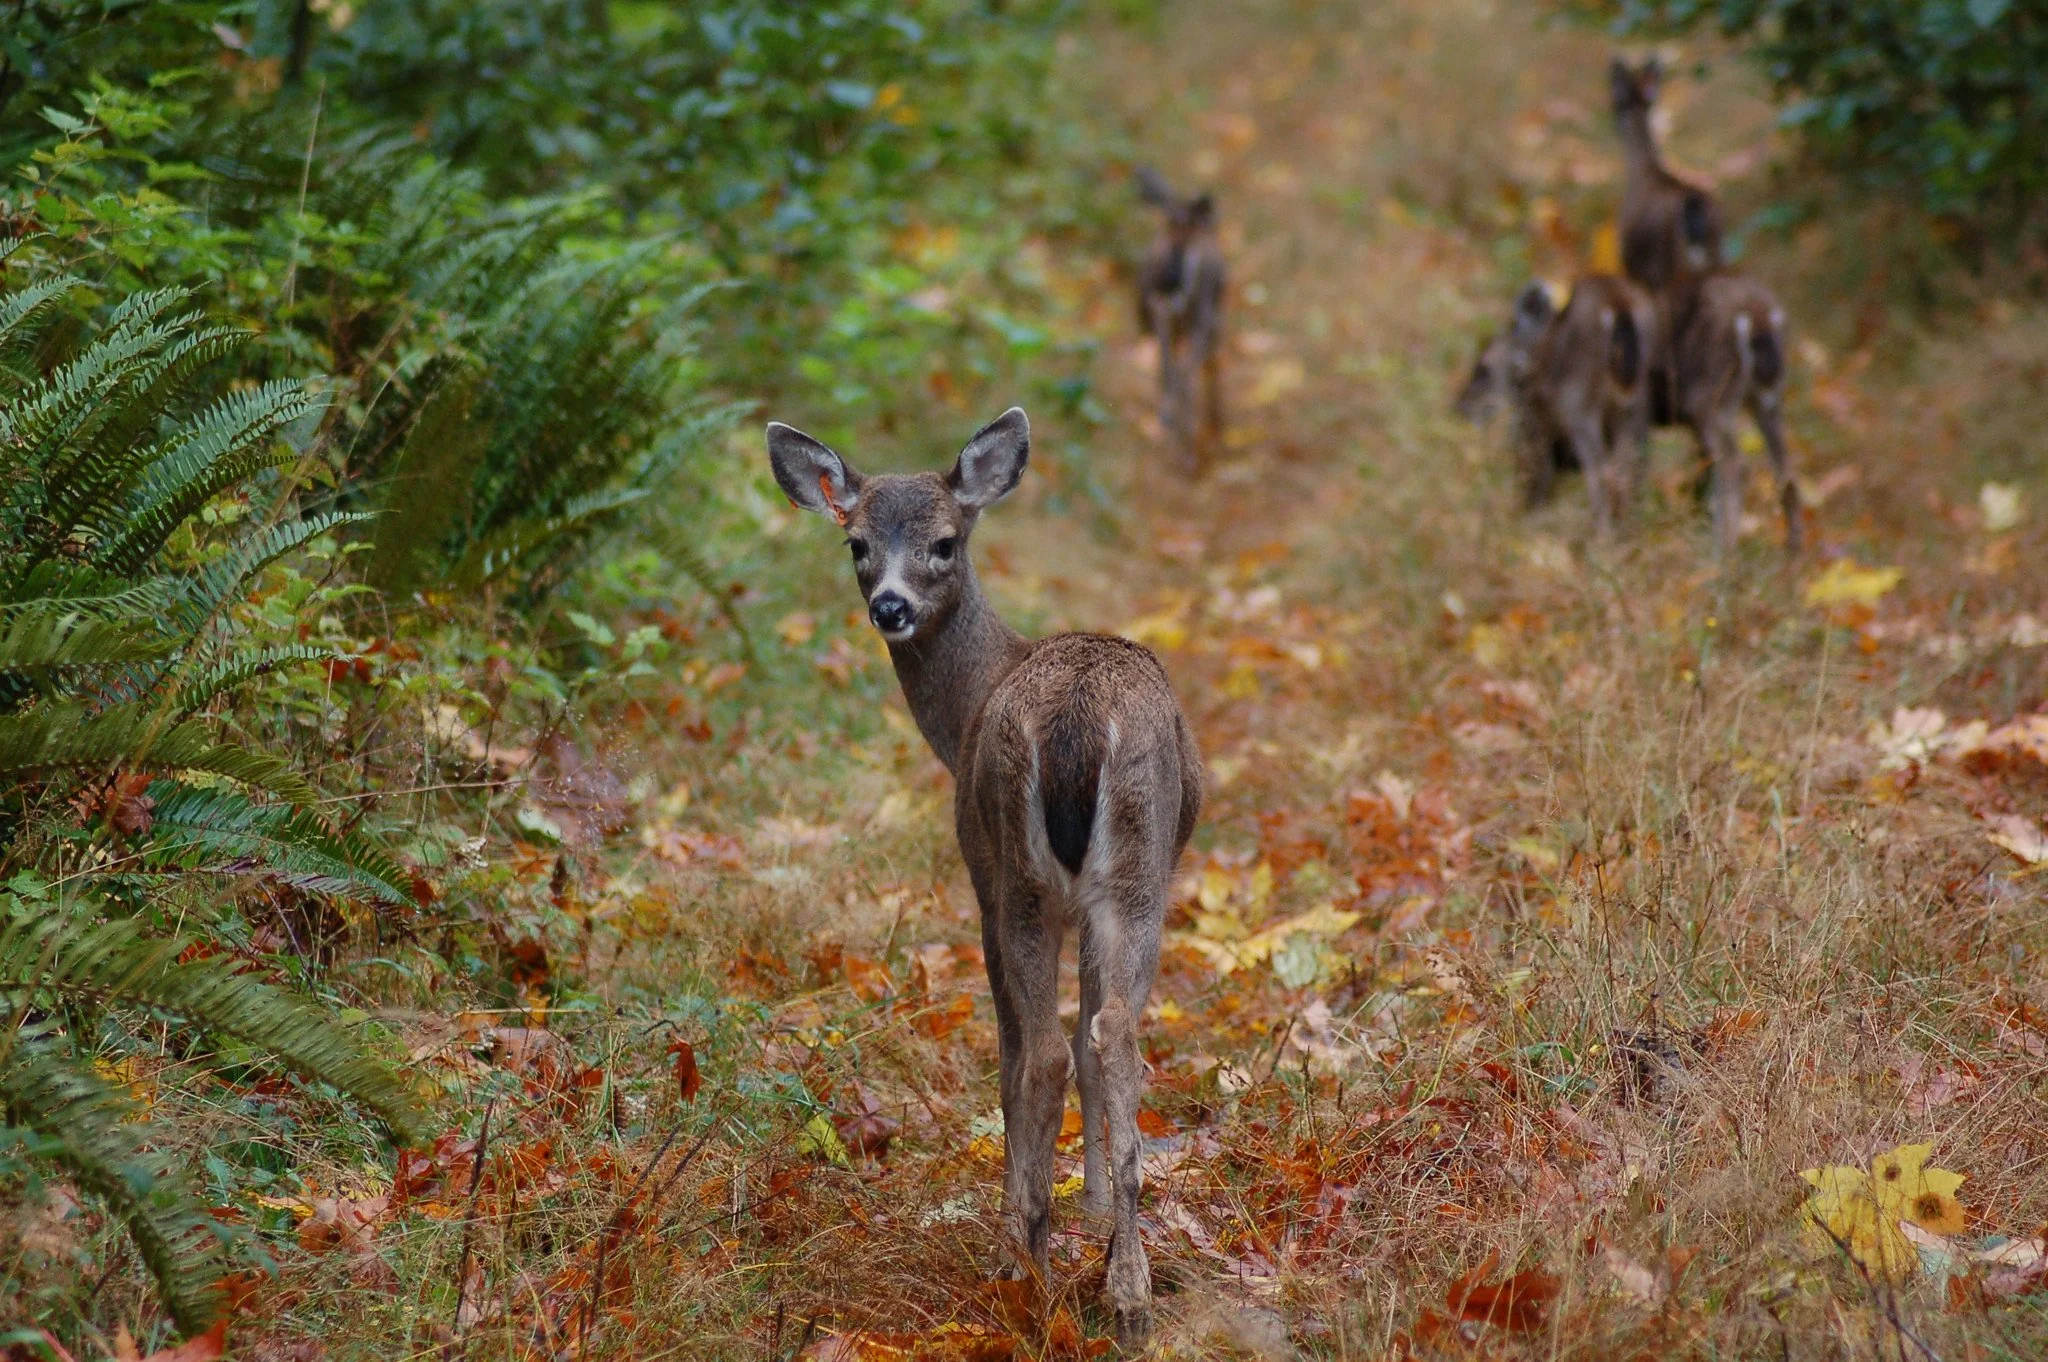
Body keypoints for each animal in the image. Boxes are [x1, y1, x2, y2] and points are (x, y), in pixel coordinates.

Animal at [765, 408, 1203, 1347]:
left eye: (942, 541)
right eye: (856, 542)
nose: (890, 605)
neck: (967, 707)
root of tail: (1075, 723)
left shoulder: (980, 873)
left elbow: (1014, 1056)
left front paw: (1041, 1219)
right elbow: (1088, 1042)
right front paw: (1093, 1208)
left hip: (1024, 878)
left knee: (1041, 1049)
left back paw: (1025, 1267)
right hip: (1129, 873)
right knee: (1108, 1035)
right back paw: (1124, 1288)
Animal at [1135, 167, 1226, 472]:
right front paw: (1217, 424)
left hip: (1161, 311)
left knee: (1169, 371)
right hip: (1201, 316)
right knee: (1188, 376)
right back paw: (1191, 453)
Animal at [1456, 276, 1656, 535]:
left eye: (1483, 367)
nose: (1461, 407)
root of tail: (1619, 306)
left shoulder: (1534, 423)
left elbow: (1537, 472)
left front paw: (1528, 519)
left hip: (1581, 411)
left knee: (1602, 472)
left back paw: (1600, 536)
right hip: (1635, 409)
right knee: (1631, 470)